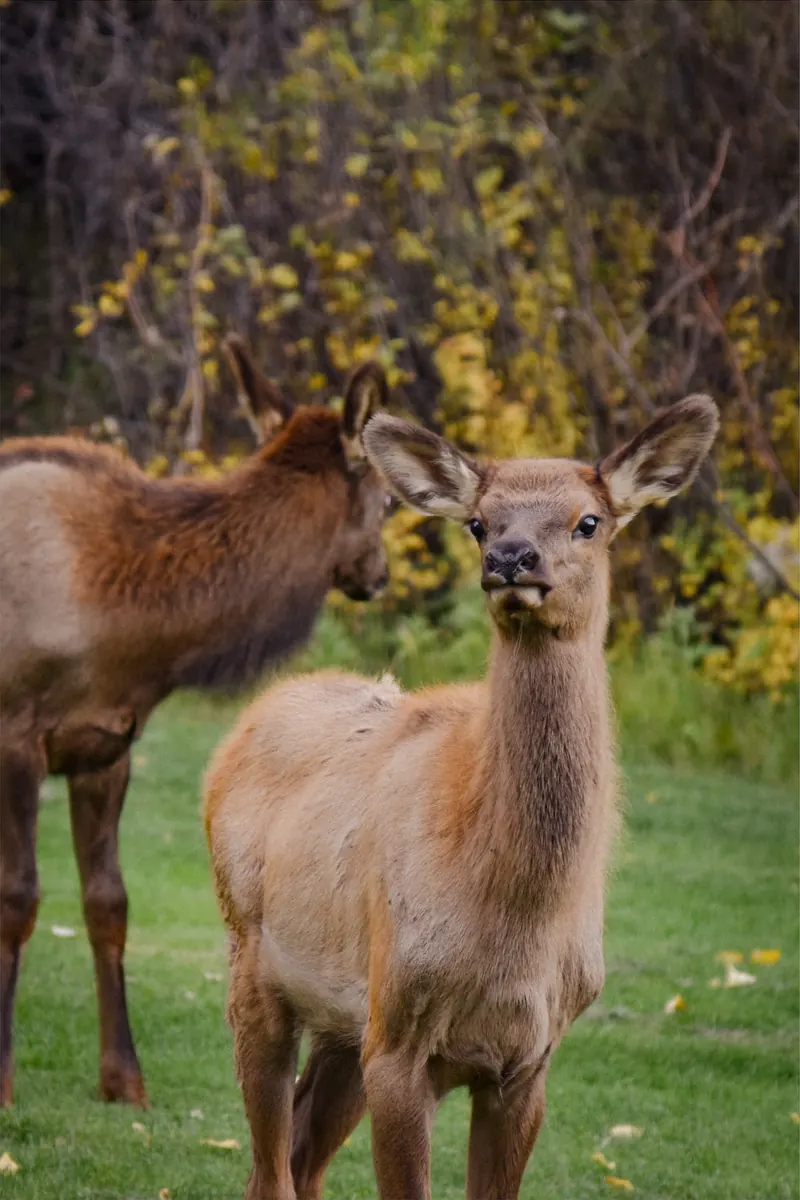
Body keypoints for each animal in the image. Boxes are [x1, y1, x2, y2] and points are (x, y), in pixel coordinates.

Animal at [0, 339, 394, 1109]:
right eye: (389, 499)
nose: (380, 574)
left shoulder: (105, 743)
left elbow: (108, 902)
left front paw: (124, 1079)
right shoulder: (14, 735)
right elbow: (18, 898)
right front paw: (0, 1079)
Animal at [203, 393, 719, 1200]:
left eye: (589, 520)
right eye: (478, 520)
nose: (511, 557)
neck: (511, 913)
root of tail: (248, 721)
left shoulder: (528, 1059)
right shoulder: (400, 1039)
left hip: (347, 1018)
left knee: (300, 1155)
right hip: (256, 961)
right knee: (270, 1168)